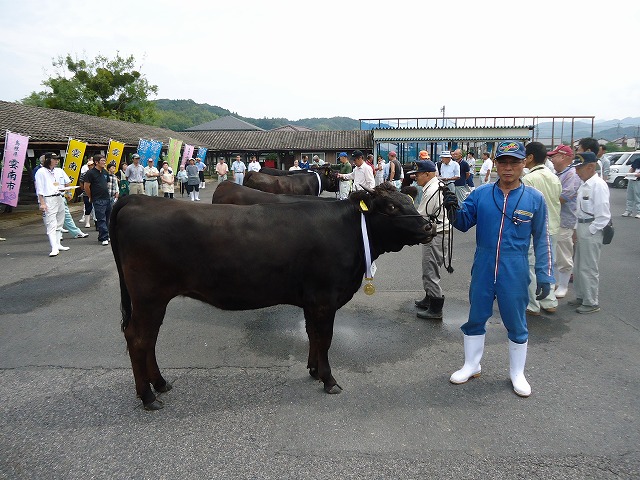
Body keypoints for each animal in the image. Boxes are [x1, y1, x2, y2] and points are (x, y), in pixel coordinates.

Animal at [110, 186, 432, 410]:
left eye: (409, 200)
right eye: (392, 206)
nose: (429, 225)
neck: (349, 231)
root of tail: (137, 200)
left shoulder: (311, 301)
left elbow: (313, 335)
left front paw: (313, 370)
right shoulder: (325, 298)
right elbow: (325, 338)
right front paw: (329, 380)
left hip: (153, 301)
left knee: (148, 339)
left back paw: (160, 383)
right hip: (149, 297)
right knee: (138, 338)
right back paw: (148, 396)